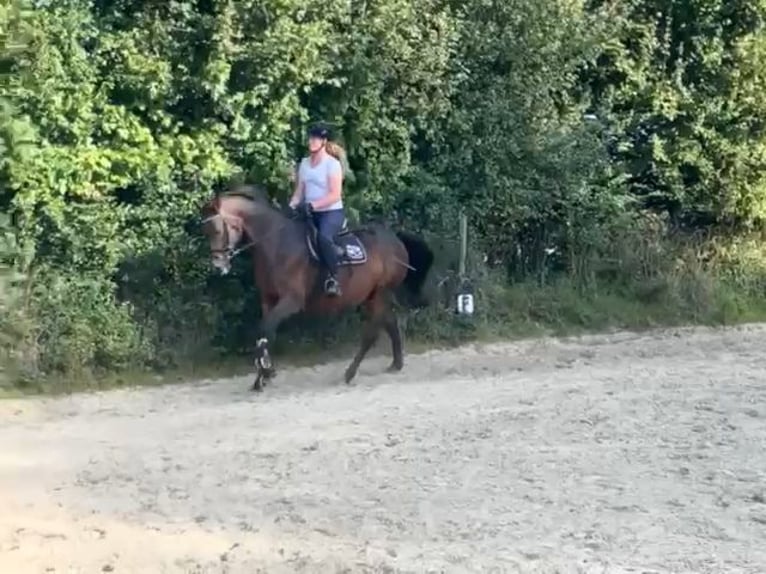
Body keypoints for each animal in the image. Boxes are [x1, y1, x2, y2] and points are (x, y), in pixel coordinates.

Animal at [201, 184, 436, 392]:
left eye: (217, 229)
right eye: (207, 231)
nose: (218, 264)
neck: (276, 243)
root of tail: (396, 240)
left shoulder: (291, 301)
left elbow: (265, 329)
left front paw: (266, 372)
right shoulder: (268, 299)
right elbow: (265, 333)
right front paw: (262, 378)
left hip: (380, 293)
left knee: (371, 334)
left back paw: (350, 373)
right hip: (372, 296)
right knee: (390, 322)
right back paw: (396, 364)